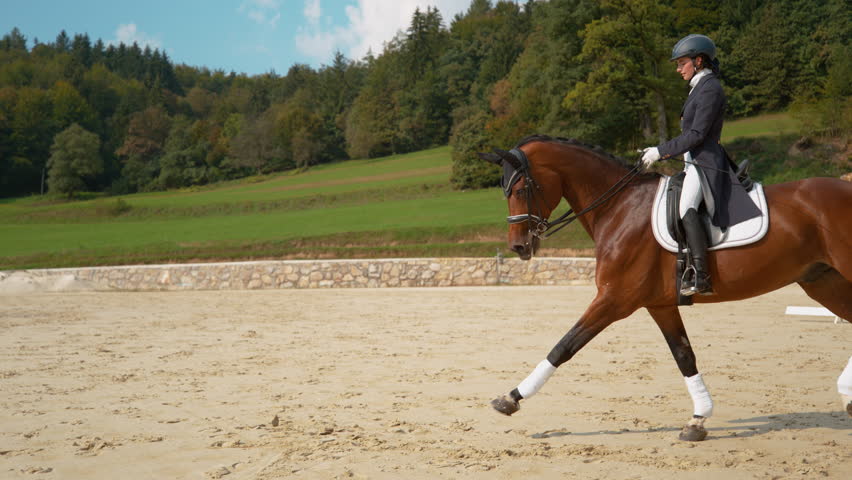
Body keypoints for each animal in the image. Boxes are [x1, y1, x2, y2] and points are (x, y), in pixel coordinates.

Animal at [479, 135, 852, 441]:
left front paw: (511, 398)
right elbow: (684, 355)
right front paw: (698, 419)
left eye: (520, 190)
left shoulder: (613, 299)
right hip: (823, 281)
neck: (620, 207)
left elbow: (564, 346)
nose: (519, 247)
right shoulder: (659, 304)